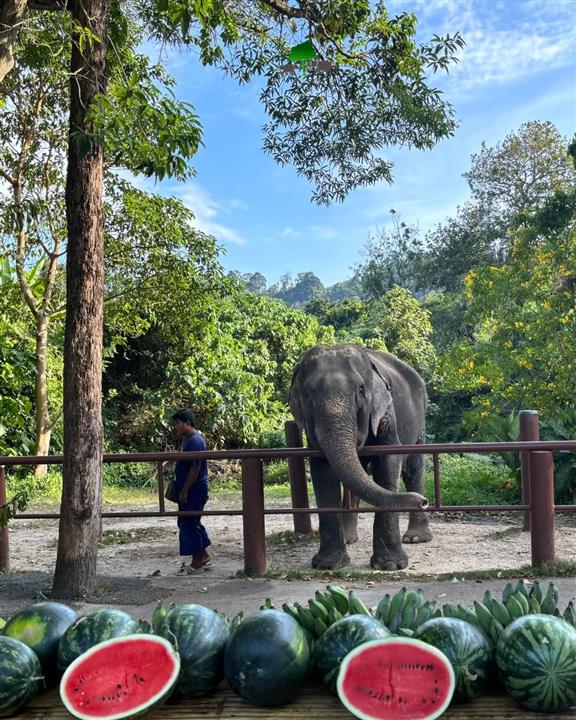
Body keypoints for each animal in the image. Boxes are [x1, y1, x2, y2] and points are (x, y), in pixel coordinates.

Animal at [289, 343, 432, 571]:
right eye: (309, 393)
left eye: (361, 390)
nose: (424, 502)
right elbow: (321, 468)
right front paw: (328, 565)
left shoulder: (386, 410)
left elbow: (389, 460)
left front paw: (390, 566)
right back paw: (349, 539)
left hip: (420, 423)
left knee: (412, 469)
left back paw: (416, 538)